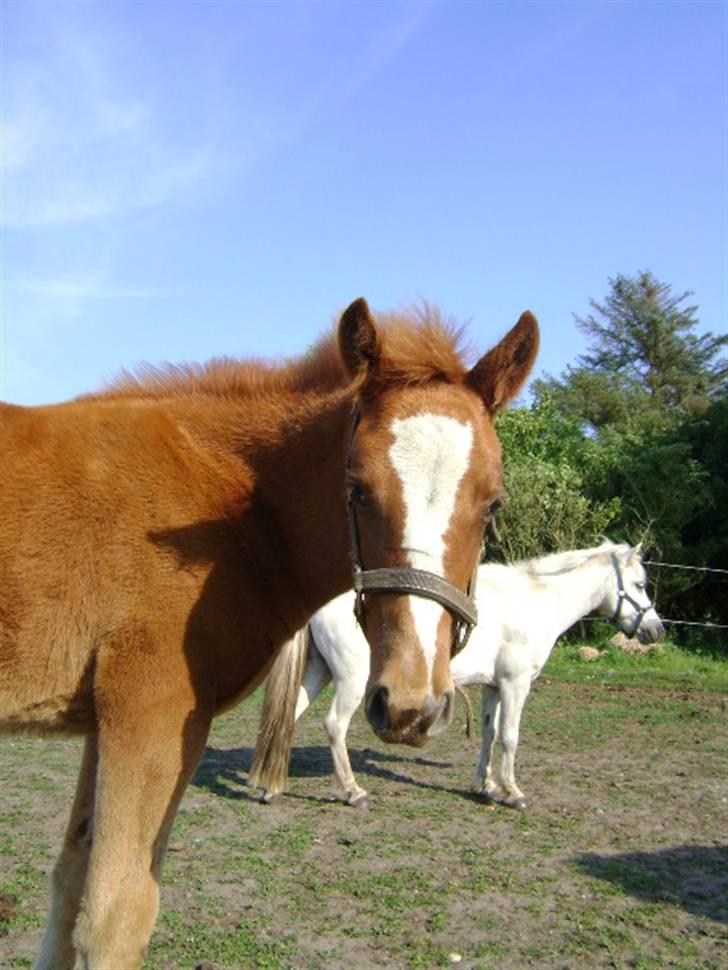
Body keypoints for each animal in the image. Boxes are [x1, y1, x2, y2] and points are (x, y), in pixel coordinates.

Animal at [0, 298, 536, 964]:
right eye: (357, 489)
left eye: (493, 505)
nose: (410, 706)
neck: (231, 516)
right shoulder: (150, 713)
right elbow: (116, 913)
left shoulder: (105, 719)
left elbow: (70, 882)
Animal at [250, 540, 664, 804]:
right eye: (640, 585)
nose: (656, 630)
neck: (534, 603)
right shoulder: (515, 686)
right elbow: (510, 737)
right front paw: (512, 793)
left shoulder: (493, 687)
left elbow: (489, 734)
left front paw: (485, 786)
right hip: (352, 683)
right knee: (334, 725)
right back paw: (353, 792)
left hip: (318, 672)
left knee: (287, 717)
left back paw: (272, 787)